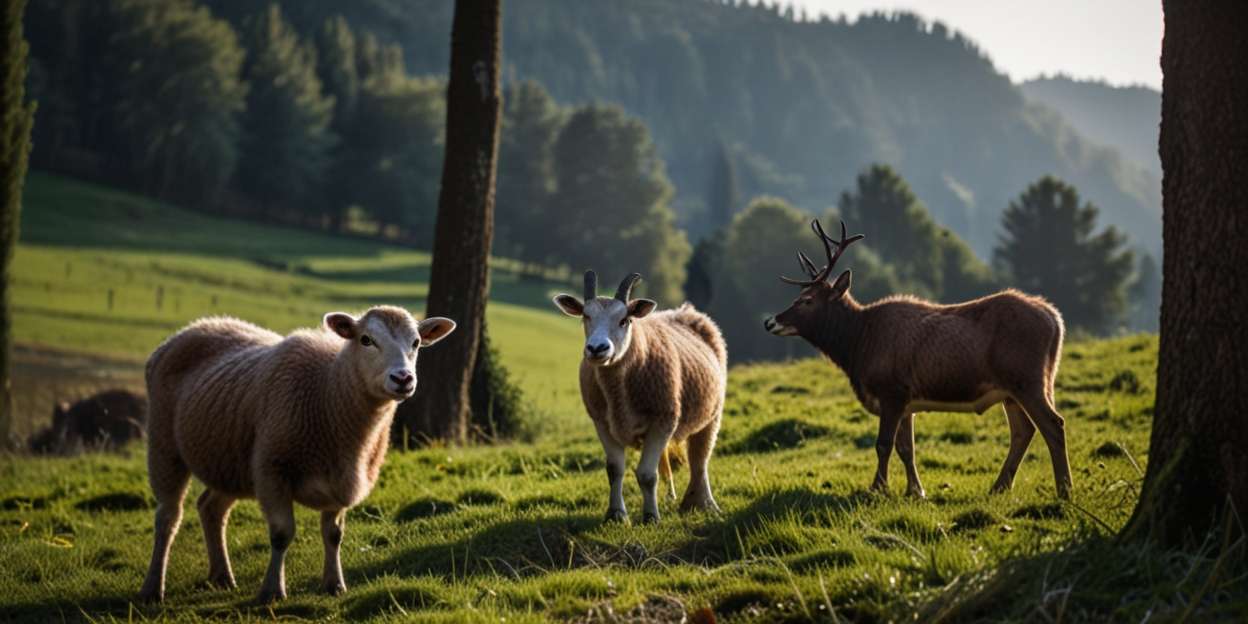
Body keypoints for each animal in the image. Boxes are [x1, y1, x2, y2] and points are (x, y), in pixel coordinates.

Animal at [758, 220, 1073, 501]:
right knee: (1024, 430)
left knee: (1053, 424)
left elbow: (883, 444)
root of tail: (1055, 319)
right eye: (800, 295)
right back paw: (1000, 487)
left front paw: (877, 489)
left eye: (808, 300)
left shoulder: (892, 390)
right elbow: (906, 449)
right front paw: (915, 491)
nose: (770, 321)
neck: (858, 346)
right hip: (1015, 388)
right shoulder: (906, 401)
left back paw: (1064, 490)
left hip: (1026, 378)